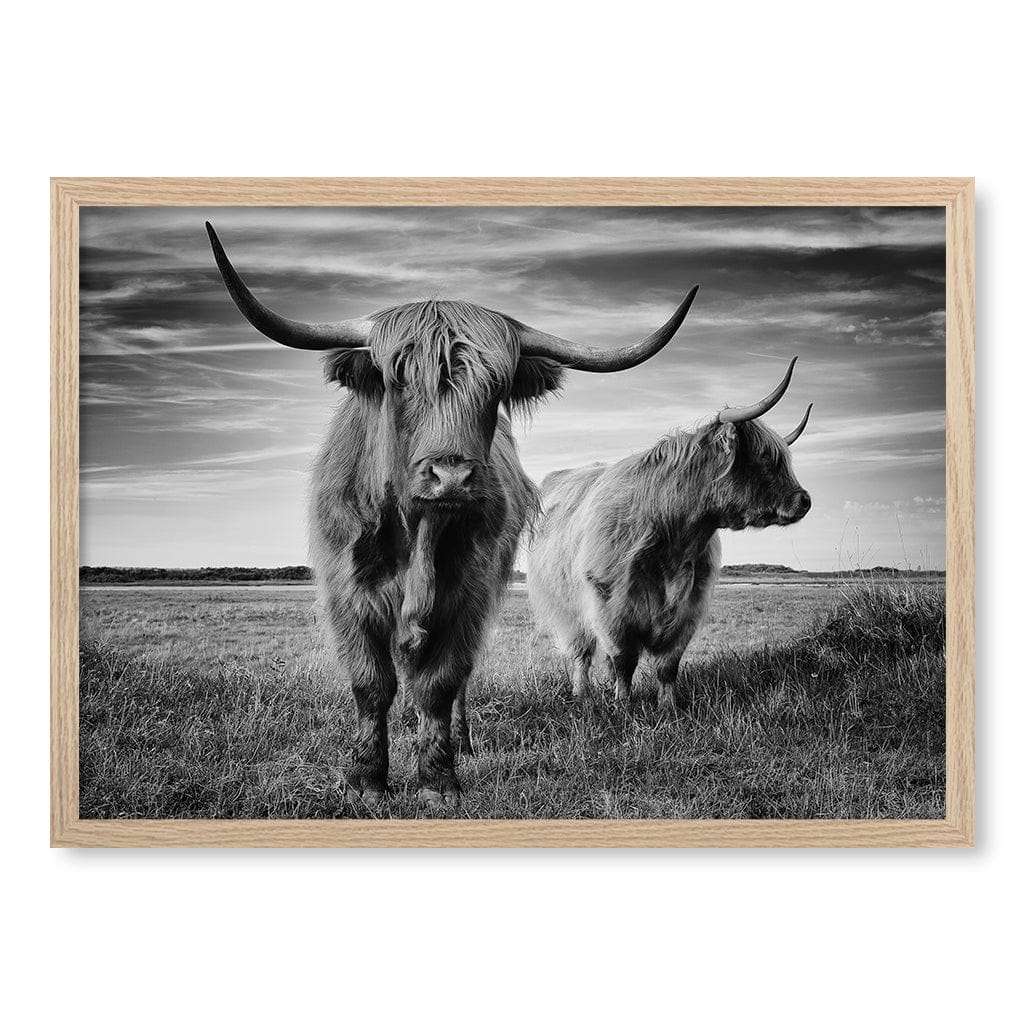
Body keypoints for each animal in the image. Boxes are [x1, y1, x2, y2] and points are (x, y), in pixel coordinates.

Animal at [206, 222, 699, 804]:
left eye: (496, 387)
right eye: (398, 380)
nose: (452, 477)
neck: (417, 532)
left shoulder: (467, 594)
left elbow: (440, 684)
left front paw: (438, 781)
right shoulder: (347, 594)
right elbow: (371, 683)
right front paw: (367, 780)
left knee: (456, 680)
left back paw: (459, 742)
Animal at [527, 357, 812, 711]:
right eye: (764, 458)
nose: (804, 500)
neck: (675, 538)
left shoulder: (689, 607)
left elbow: (667, 664)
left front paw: (669, 707)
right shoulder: (610, 606)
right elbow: (623, 660)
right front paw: (623, 704)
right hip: (565, 608)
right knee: (581, 652)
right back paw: (583, 694)